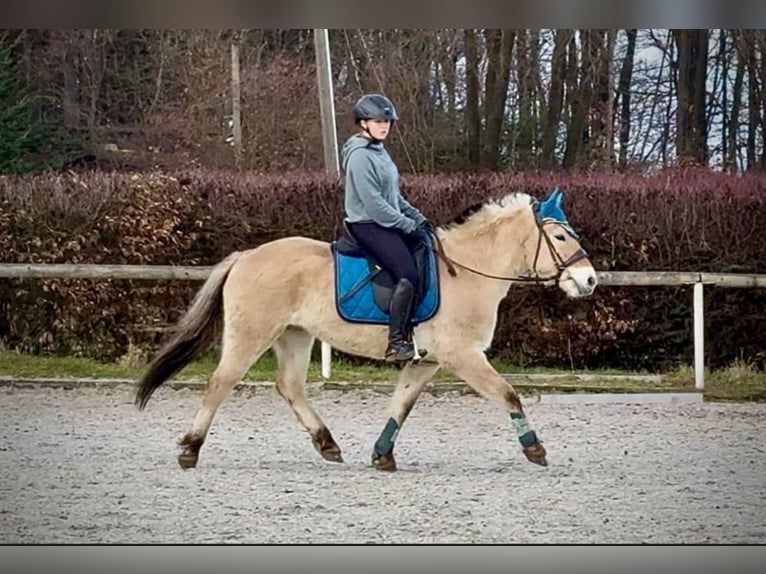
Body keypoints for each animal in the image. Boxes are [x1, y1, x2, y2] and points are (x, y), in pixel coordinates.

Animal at [134, 188, 598, 471]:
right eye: (559, 237)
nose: (590, 280)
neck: (468, 270)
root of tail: (246, 256)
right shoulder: (463, 355)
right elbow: (508, 394)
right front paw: (535, 448)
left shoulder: (427, 361)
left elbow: (401, 405)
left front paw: (382, 455)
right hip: (252, 334)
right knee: (220, 382)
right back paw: (190, 449)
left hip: (295, 335)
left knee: (290, 387)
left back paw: (327, 444)